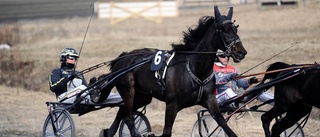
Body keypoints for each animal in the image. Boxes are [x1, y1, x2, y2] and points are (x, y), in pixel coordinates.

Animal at [100, 5, 248, 137]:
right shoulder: (172, 104)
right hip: (128, 91)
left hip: (143, 96)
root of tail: (122, 58)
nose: (241, 52)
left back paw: (108, 132)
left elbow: (224, 124)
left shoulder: (210, 100)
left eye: (235, 28)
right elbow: (166, 132)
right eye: (223, 29)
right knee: (129, 118)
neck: (195, 70)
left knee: (121, 112)